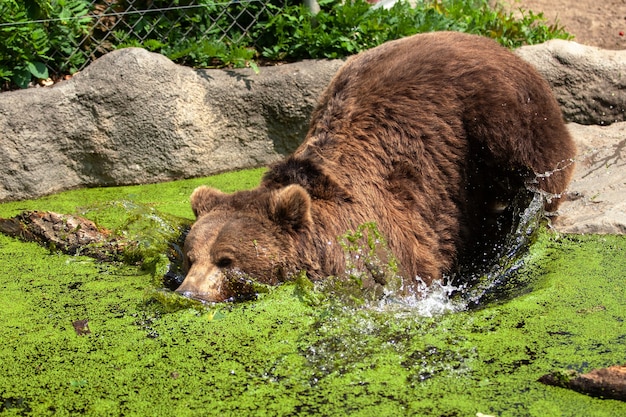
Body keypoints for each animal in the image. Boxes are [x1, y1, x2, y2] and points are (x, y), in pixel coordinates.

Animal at [174, 30, 572, 300]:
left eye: (227, 260)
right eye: (190, 257)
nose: (188, 293)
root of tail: (489, 42)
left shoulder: (381, 247)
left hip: (503, 116)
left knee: (540, 169)